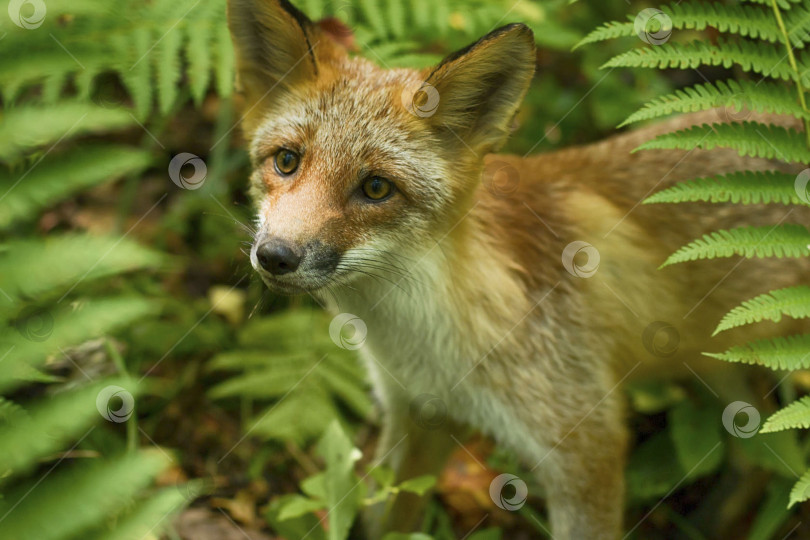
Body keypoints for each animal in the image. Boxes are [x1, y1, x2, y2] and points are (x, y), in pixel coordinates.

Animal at [226, 2, 808, 536]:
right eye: (286, 161)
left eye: (375, 188)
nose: (275, 255)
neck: (433, 343)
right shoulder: (416, 414)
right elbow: (386, 518)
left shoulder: (586, 446)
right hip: (731, 372)